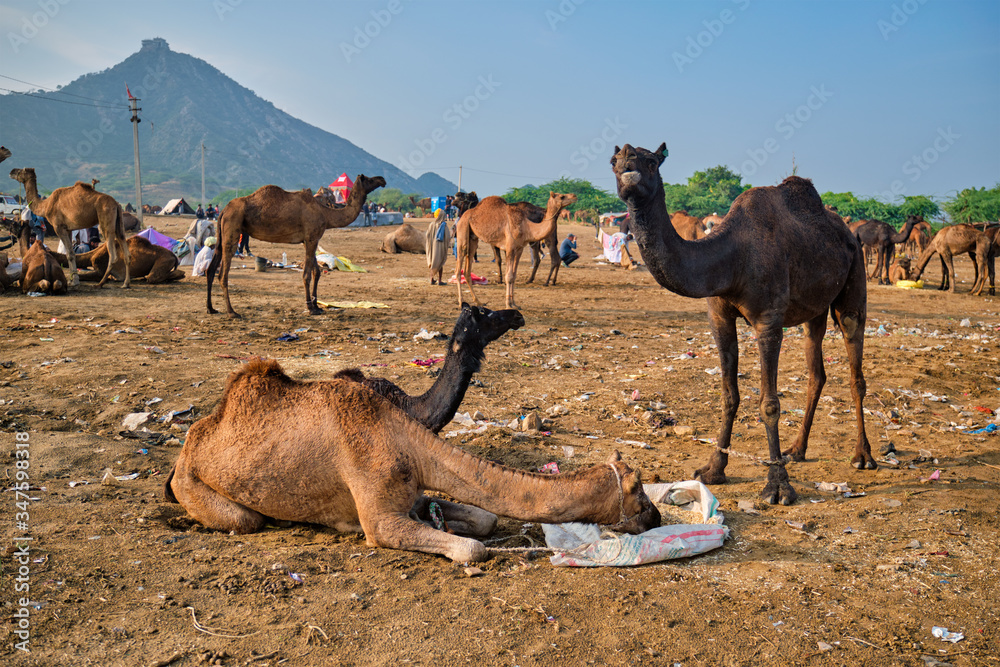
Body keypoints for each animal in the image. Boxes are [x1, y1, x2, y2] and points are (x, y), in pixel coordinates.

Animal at [164, 358, 659, 561]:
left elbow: (483, 519)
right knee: (245, 519)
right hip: (194, 483)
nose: (655, 516)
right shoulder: (379, 516)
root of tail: (189, 444)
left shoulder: (412, 492)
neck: (406, 443)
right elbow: (472, 548)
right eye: (637, 489)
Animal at [206, 174, 386, 317]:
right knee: (223, 273)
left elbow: (316, 272)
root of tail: (224, 210)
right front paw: (311, 308)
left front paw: (317, 306)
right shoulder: (312, 237)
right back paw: (232, 312)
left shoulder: (309, 239)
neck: (326, 214)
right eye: (368, 179)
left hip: (222, 234)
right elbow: (307, 275)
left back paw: (211, 308)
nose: (382, 180)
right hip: (232, 228)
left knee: (211, 269)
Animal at [611, 143, 874, 505]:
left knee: (854, 361)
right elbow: (728, 394)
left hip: (856, 275)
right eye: (613, 161)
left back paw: (863, 456)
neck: (733, 255)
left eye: (651, 161)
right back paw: (797, 449)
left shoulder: (768, 321)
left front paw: (778, 487)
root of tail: (849, 231)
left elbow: (769, 404)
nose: (628, 167)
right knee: (816, 370)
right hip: (815, 309)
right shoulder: (719, 316)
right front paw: (713, 469)